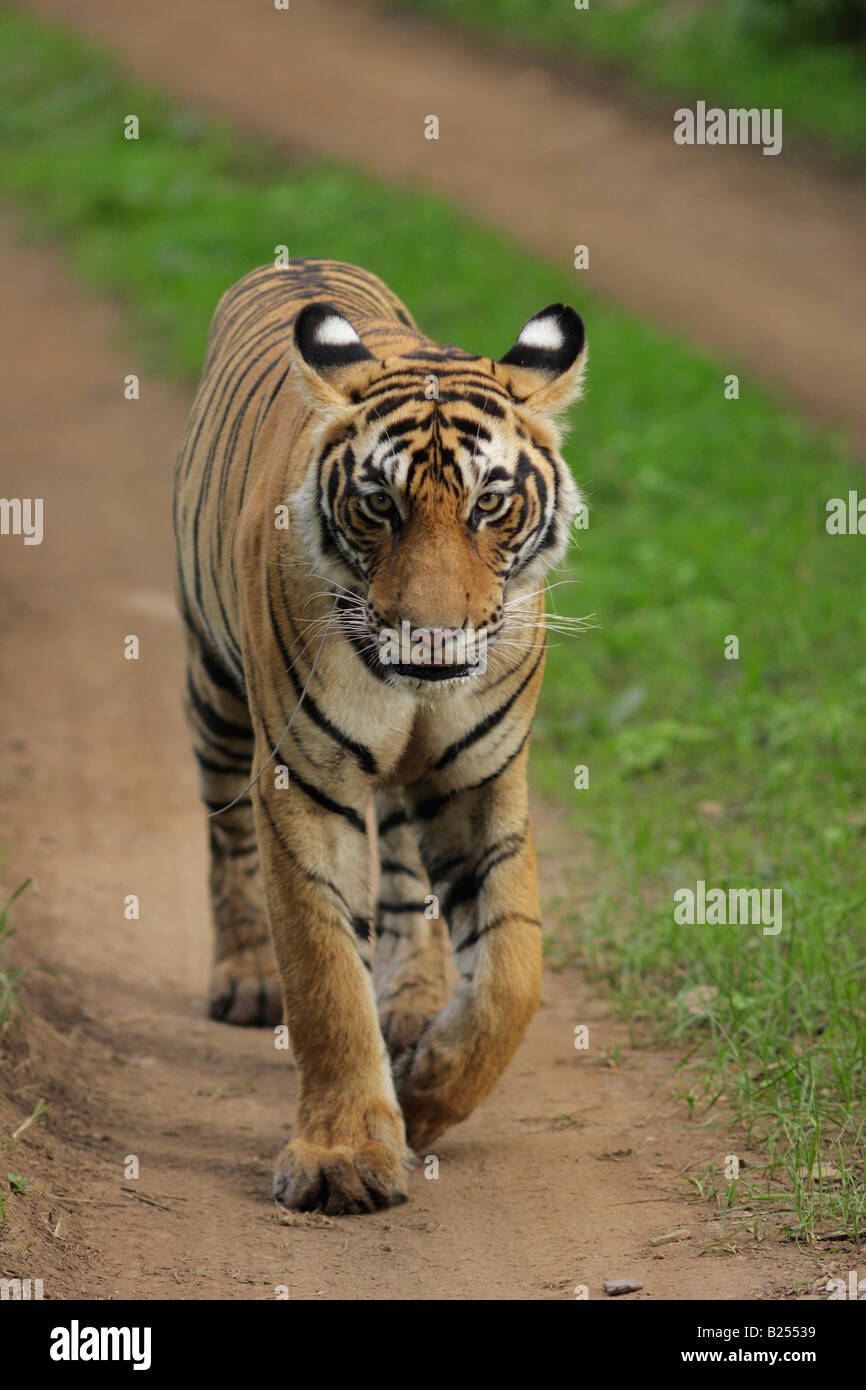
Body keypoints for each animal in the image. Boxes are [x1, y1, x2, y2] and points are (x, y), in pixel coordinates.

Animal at [171, 261, 586, 1217]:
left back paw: (412, 1003)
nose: (429, 639)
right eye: (377, 505)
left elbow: (513, 972)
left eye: (490, 504)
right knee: (223, 836)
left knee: (403, 875)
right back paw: (245, 975)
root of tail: (299, 260)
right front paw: (343, 1156)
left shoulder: (479, 780)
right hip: (215, 692)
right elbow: (324, 974)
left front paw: (427, 1091)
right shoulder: (303, 780)